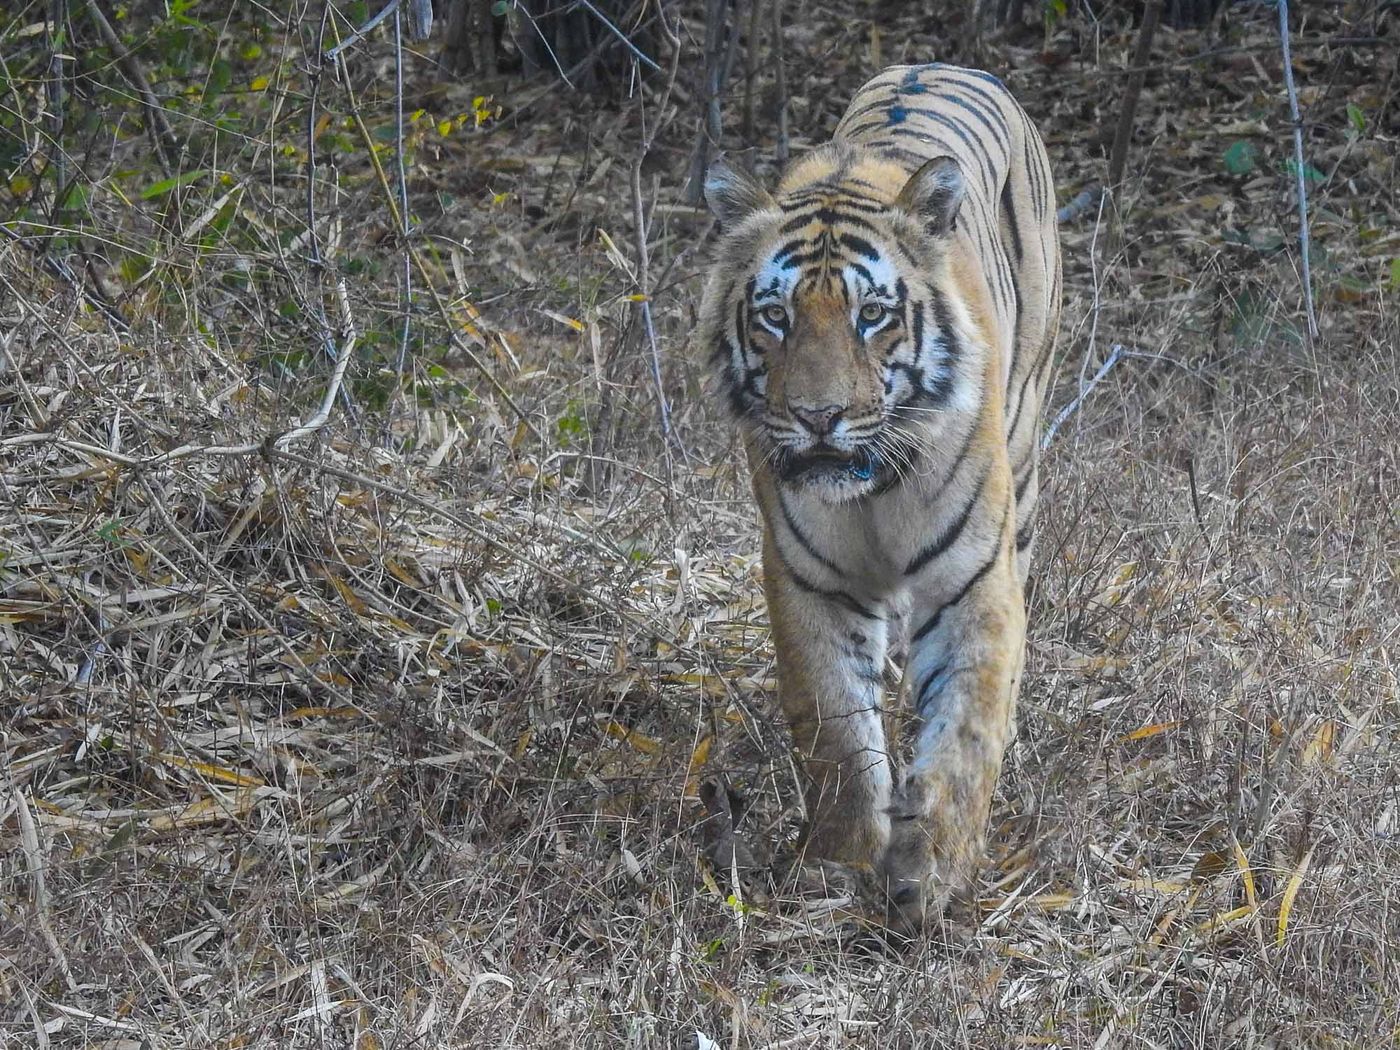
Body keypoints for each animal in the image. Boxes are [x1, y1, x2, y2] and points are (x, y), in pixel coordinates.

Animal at [700, 61, 1058, 924]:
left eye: (872, 316)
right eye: (774, 316)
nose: (818, 416)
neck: (872, 490)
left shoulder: (973, 581)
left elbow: (964, 731)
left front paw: (929, 879)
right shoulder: (808, 582)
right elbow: (834, 728)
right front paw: (839, 865)